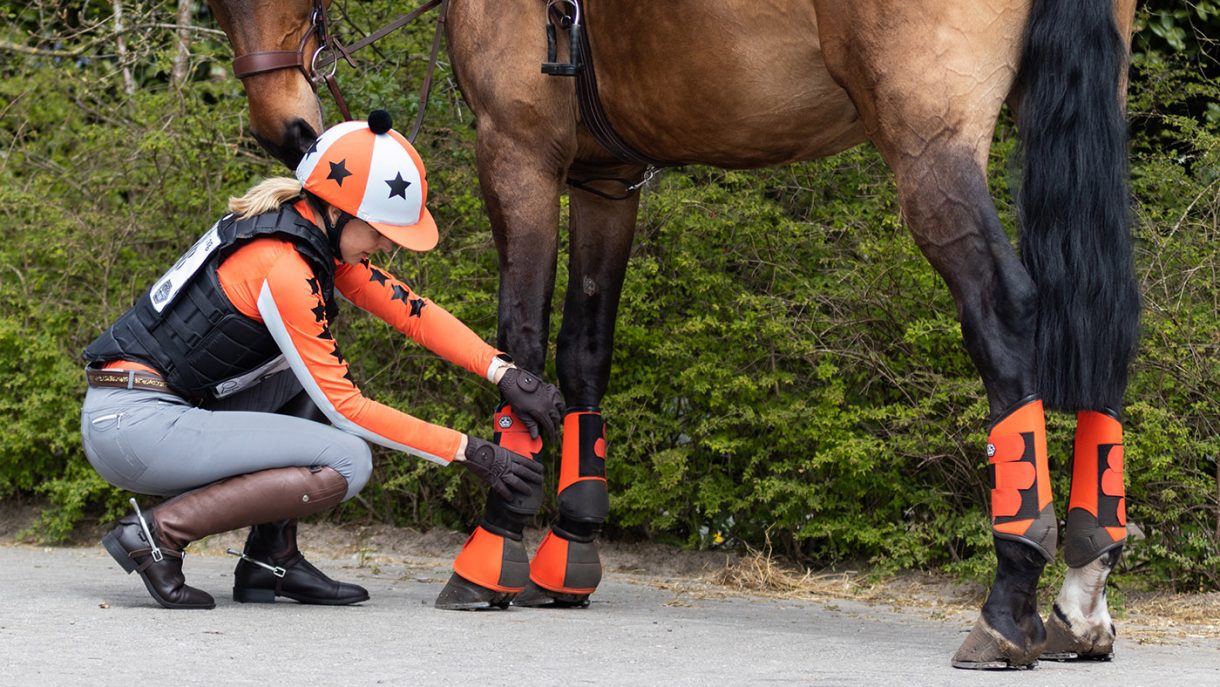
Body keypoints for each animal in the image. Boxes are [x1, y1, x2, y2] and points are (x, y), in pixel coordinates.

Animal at [206, 0, 1141, 668]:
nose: (287, 129)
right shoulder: (606, 177)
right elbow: (585, 350)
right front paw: (571, 548)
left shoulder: (517, 154)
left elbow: (522, 339)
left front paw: (496, 539)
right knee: (1104, 315)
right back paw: (1082, 586)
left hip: (930, 144)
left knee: (1008, 312)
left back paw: (1011, 594)